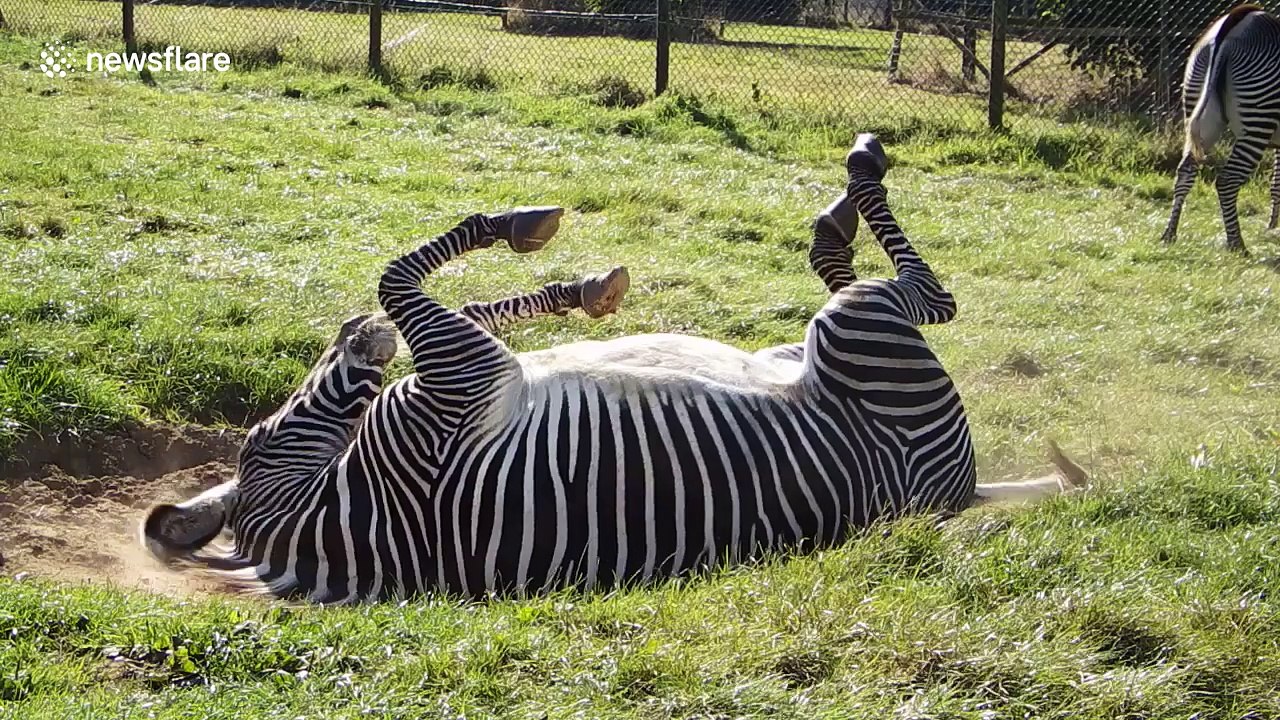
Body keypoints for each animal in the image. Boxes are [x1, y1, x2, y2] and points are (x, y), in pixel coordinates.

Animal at [141, 134, 1086, 603]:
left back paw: (837, 210)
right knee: (923, 294)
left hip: (804, 348)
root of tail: (959, 490)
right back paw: (856, 174)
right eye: (256, 440)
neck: (328, 516)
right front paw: (518, 230)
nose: (350, 338)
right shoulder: (466, 378)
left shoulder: (470, 368)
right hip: (862, 332)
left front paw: (580, 284)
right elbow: (399, 280)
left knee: (863, 279)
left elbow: (433, 295)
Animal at [1162, 4, 1280, 254]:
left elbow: (1276, 184)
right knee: (1227, 180)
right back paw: (1237, 245)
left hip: (1199, 110)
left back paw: (1169, 234)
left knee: (1185, 170)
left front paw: (1272, 227)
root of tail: (1234, 22)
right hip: (1257, 119)